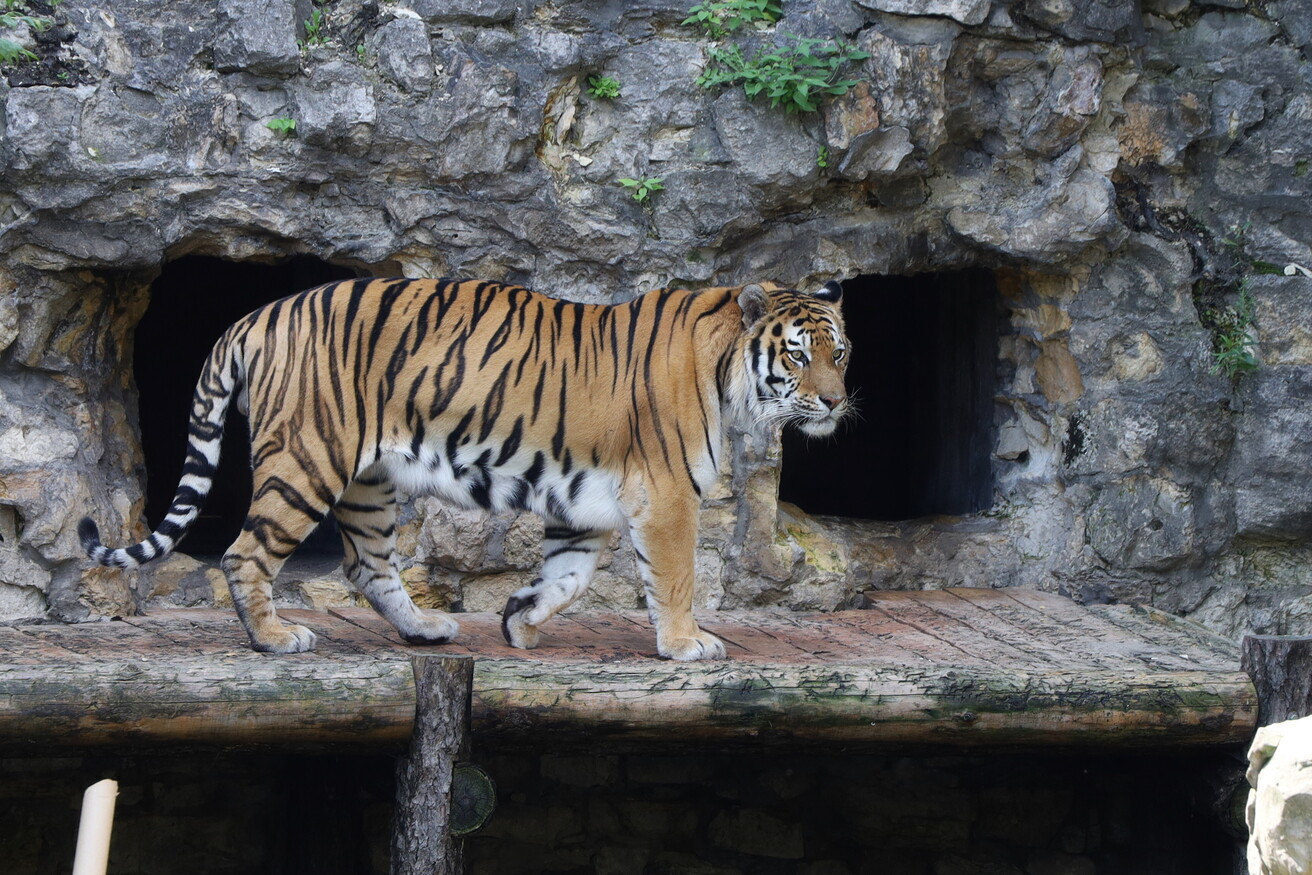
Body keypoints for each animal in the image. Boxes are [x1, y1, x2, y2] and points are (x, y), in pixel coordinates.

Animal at [80, 277, 850, 660]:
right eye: (798, 354)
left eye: (839, 352)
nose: (837, 400)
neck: (728, 373)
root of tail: (258, 315)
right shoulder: (665, 498)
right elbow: (678, 577)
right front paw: (688, 645)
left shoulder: (585, 506)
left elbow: (568, 577)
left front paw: (518, 619)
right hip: (307, 461)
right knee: (244, 553)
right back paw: (273, 638)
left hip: (368, 482)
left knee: (368, 565)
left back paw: (424, 629)